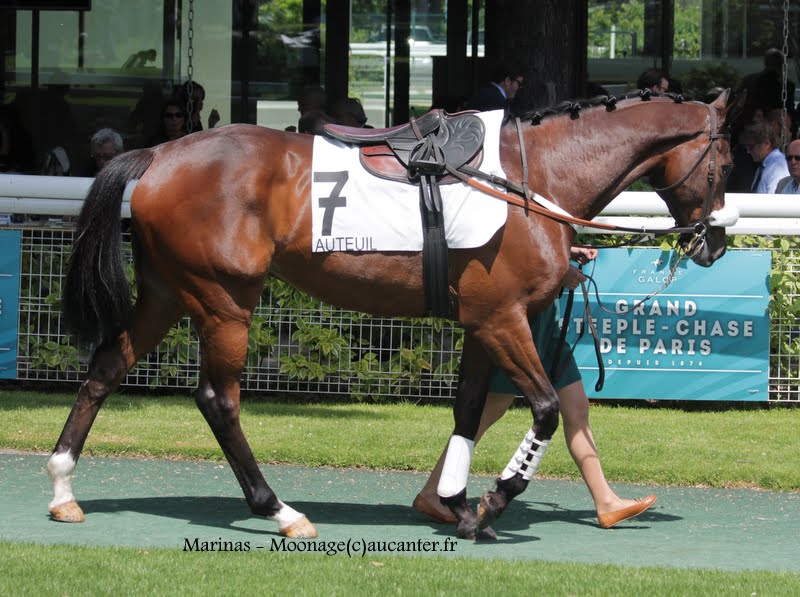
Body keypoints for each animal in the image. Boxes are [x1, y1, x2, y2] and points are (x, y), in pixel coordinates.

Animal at [48, 89, 736, 540]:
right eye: (725, 163)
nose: (716, 242)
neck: (530, 178)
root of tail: (159, 154)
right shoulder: (503, 319)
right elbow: (542, 409)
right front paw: (493, 501)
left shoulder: (482, 323)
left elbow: (468, 410)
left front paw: (455, 504)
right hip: (224, 302)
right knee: (219, 400)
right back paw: (279, 510)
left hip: (167, 293)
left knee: (105, 368)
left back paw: (62, 487)